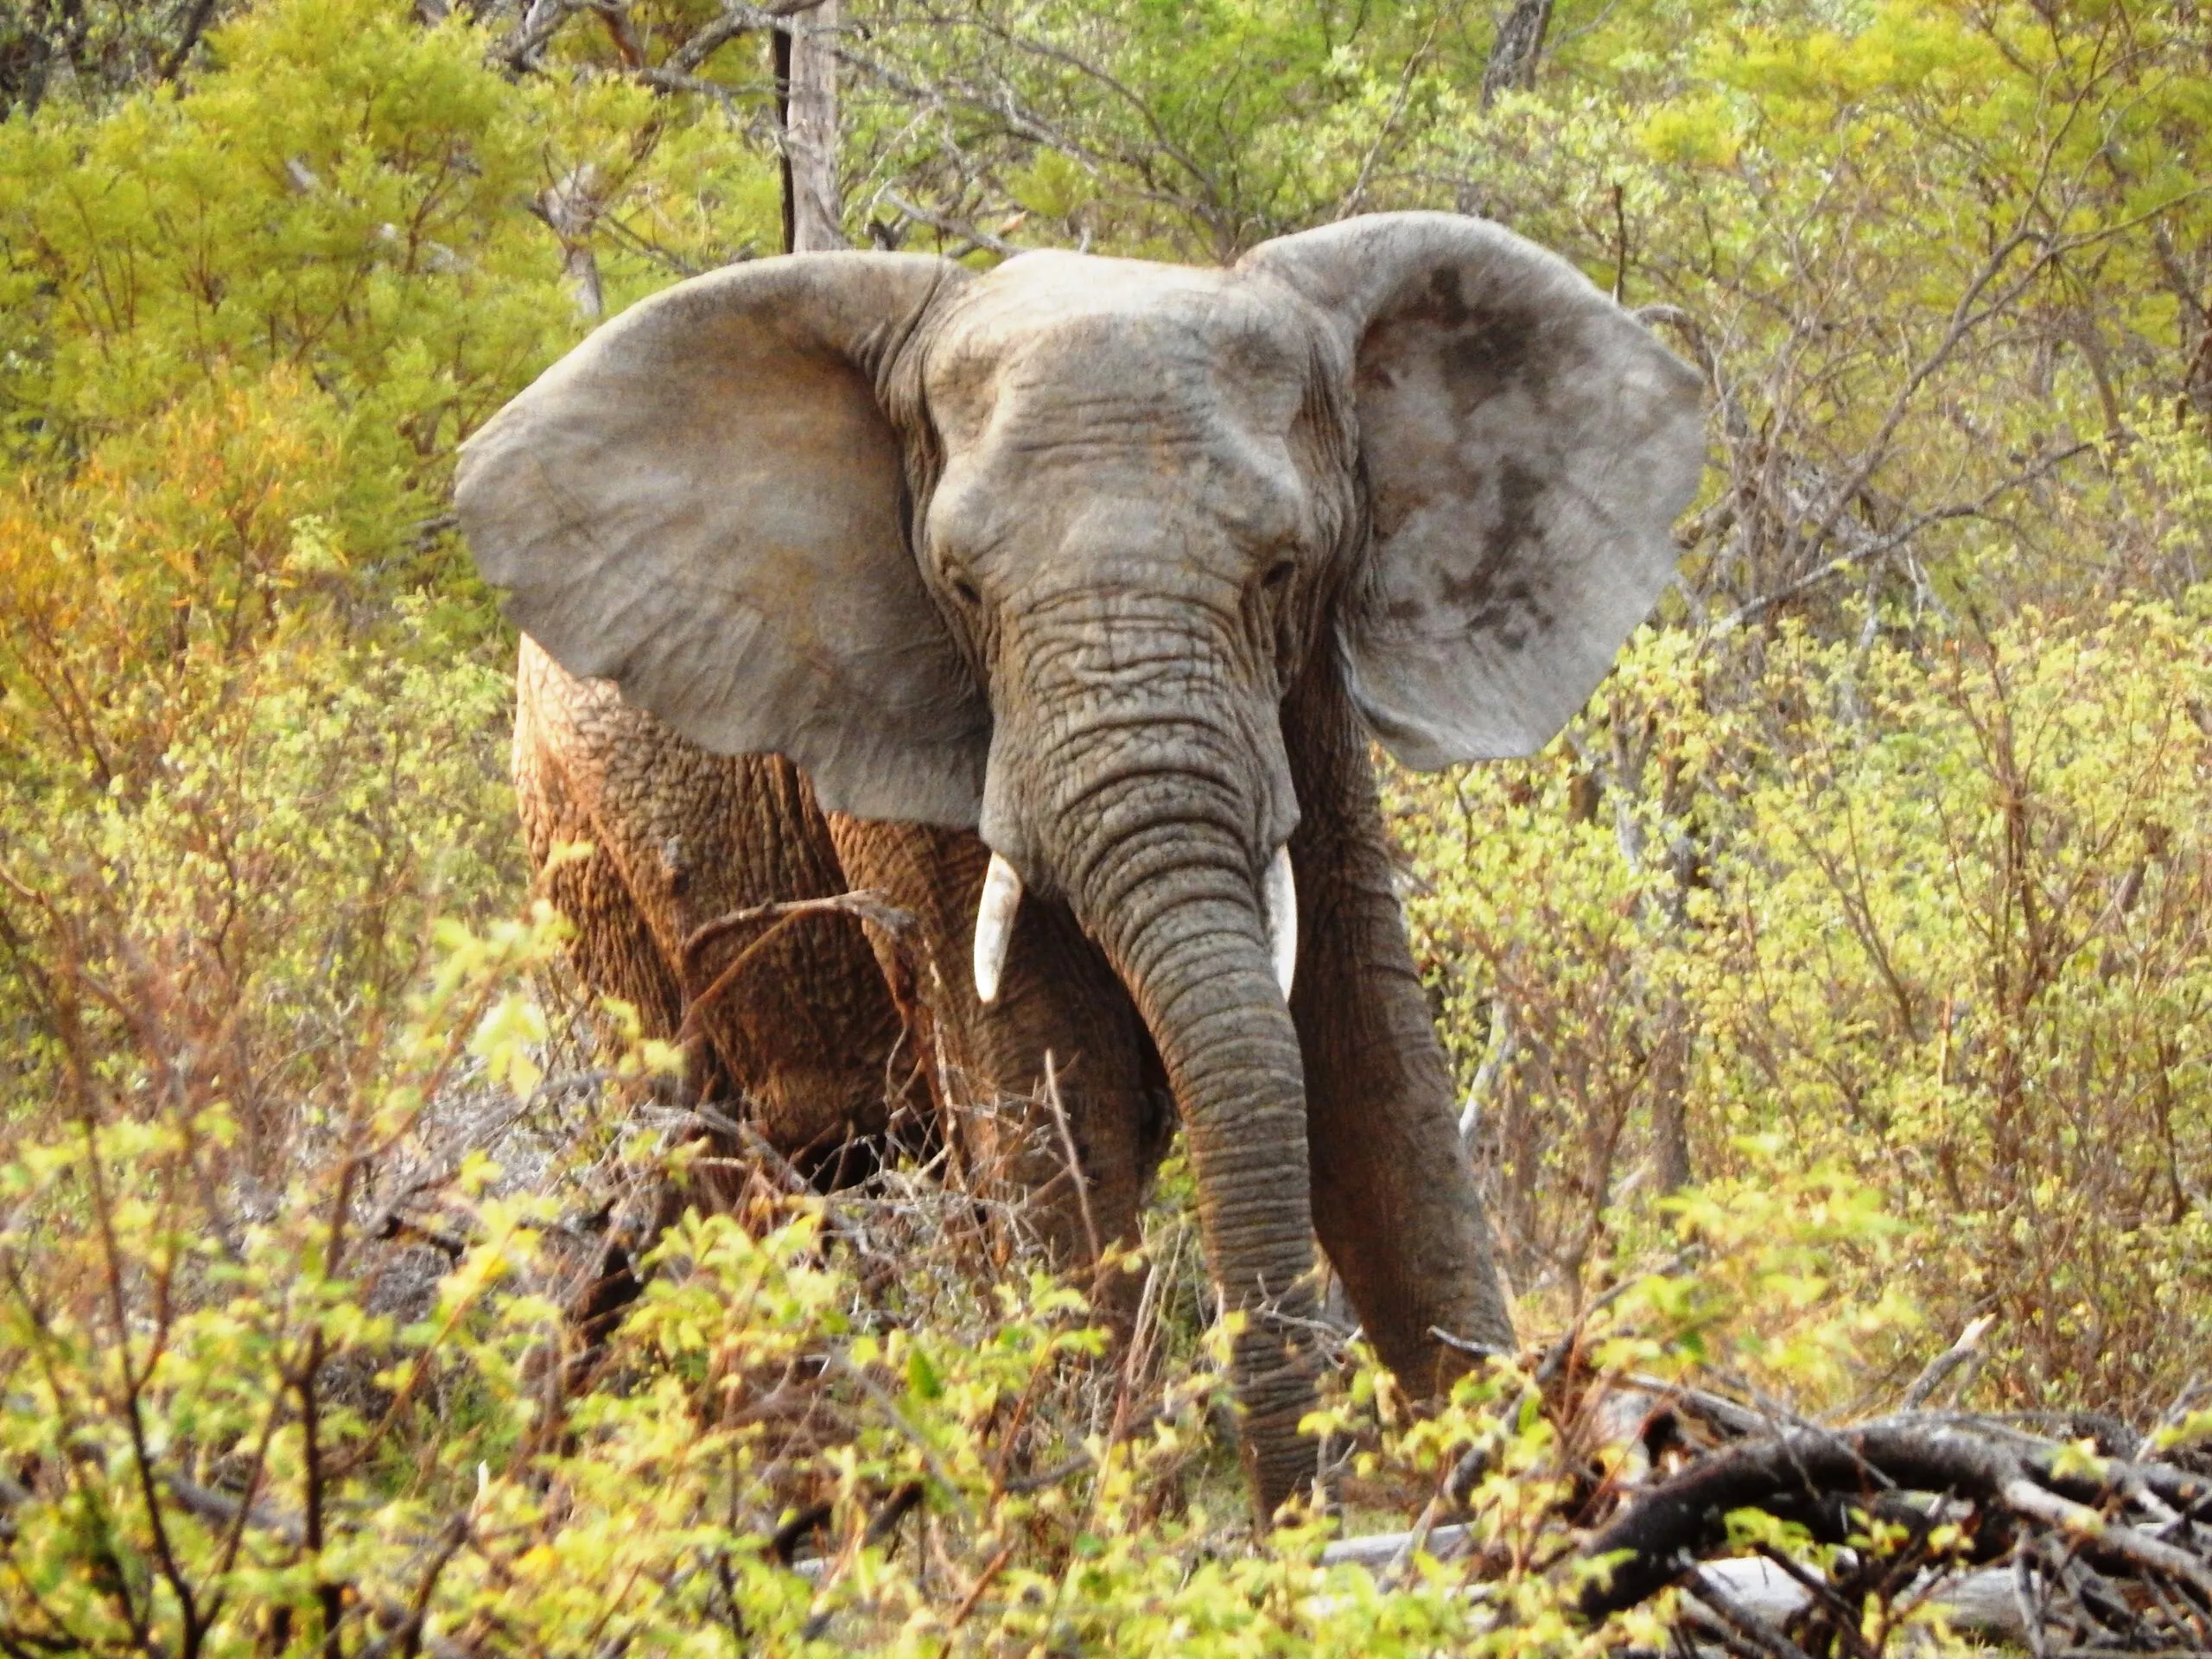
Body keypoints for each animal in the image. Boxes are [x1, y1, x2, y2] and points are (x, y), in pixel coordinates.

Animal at [454, 210, 1705, 1519]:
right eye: (961, 587)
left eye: (1282, 569)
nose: (1293, 1504)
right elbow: (1055, 1092)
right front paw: (1108, 1523)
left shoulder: (1308, 700)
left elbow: (1369, 1072)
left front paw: (1519, 1517)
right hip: (580, 857)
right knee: (706, 1174)